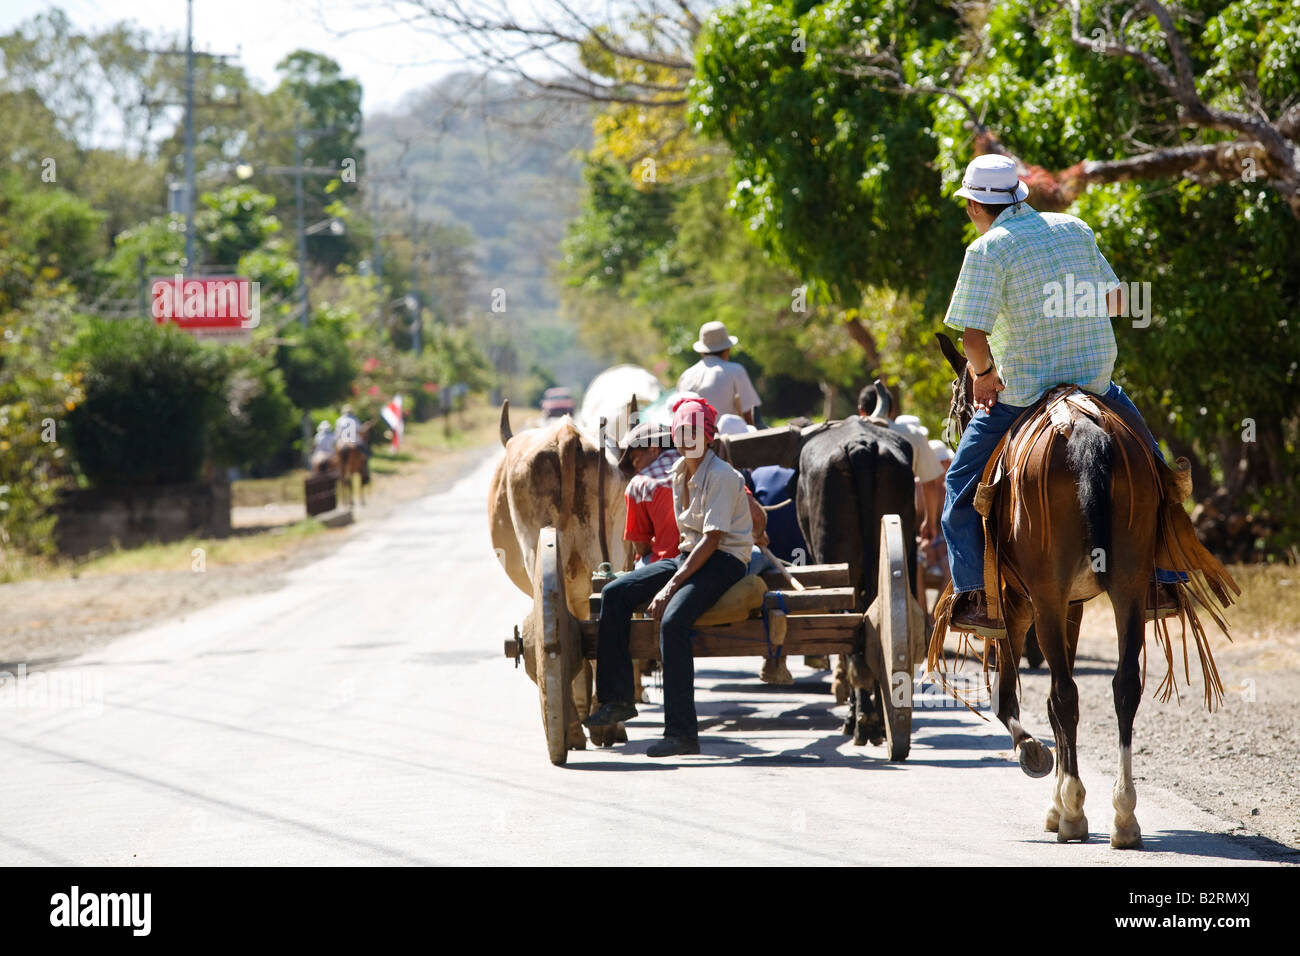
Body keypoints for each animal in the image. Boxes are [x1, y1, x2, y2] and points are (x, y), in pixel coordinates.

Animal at [925, 332, 1237, 848]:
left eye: (958, 402)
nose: (960, 426)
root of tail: (1086, 434)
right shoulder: (1072, 606)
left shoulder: (1019, 608)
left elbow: (1009, 698)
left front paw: (1040, 770)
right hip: (1128, 589)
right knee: (1123, 687)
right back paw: (1124, 816)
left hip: (1045, 600)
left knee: (1063, 695)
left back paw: (1073, 811)